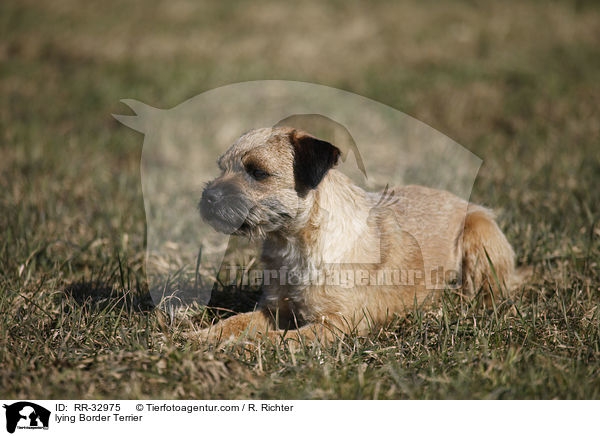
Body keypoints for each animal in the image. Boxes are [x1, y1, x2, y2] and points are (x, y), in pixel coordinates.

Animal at [197, 127, 516, 344]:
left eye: (258, 173)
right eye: (221, 168)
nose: (208, 196)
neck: (294, 244)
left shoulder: (335, 324)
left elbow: (275, 340)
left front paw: (237, 347)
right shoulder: (273, 310)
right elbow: (235, 322)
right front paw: (200, 339)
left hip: (479, 231)